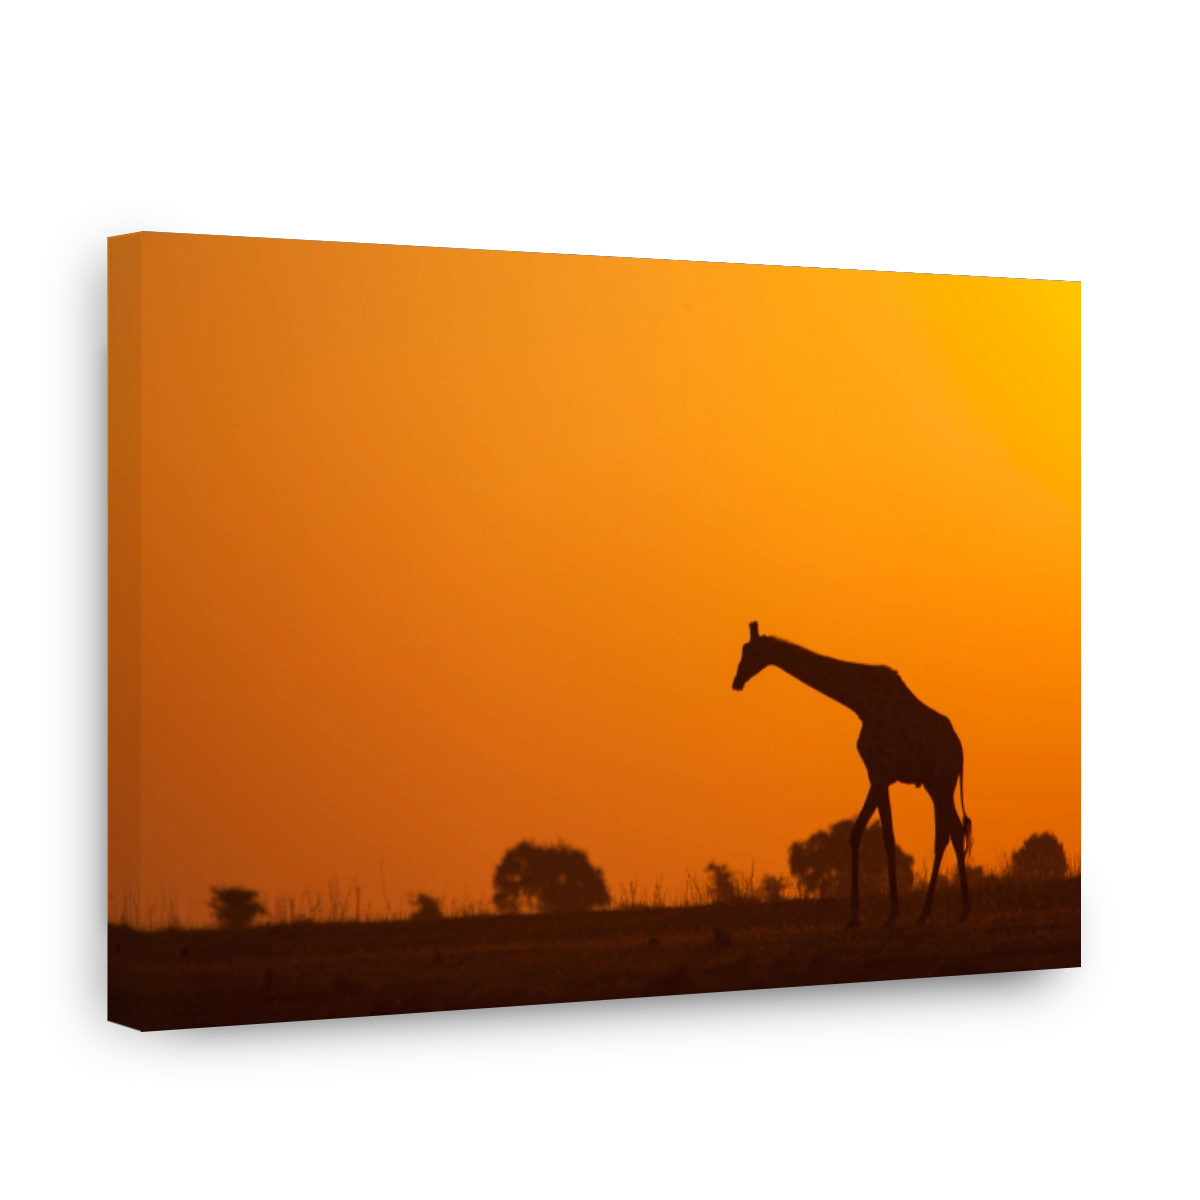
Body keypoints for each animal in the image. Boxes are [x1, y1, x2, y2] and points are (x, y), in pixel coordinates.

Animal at [732, 622, 971, 927]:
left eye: (750, 652)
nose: (736, 681)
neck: (860, 703)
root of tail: (959, 749)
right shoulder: (876, 775)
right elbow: (859, 833)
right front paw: (857, 914)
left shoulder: (881, 773)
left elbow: (886, 837)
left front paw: (889, 913)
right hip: (935, 784)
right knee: (948, 833)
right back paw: (929, 912)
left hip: (942, 781)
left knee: (951, 832)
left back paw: (957, 910)